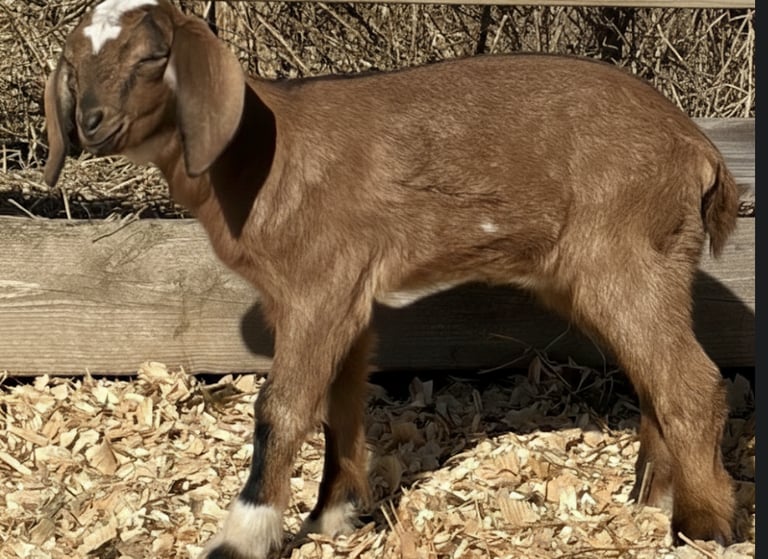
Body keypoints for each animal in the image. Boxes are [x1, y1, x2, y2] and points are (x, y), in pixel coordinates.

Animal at [43, 1, 740, 557]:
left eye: (152, 56)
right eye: (72, 64)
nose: (89, 123)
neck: (262, 156)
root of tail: (700, 149)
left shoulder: (319, 284)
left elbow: (282, 407)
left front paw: (243, 536)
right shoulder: (345, 293)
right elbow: (341, 399)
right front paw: (333, 516)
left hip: (625, 254)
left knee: (692, 381)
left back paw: (702, 526)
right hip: (622, 266)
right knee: (654, 374)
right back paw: (649, 497)